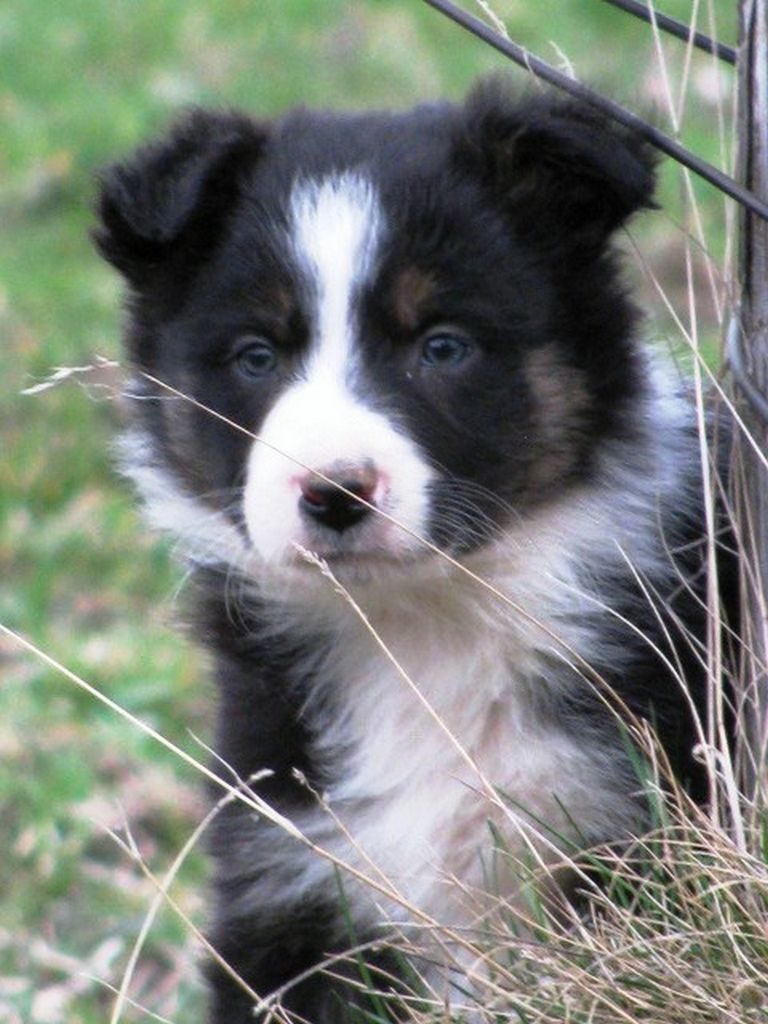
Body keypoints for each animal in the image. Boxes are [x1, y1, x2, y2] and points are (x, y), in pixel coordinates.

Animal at [94, 79, 733, 1024]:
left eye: (443, 346)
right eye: (256, 356)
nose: (334, 491)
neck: (420, 624)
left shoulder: (623, 828)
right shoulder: (289, 868)